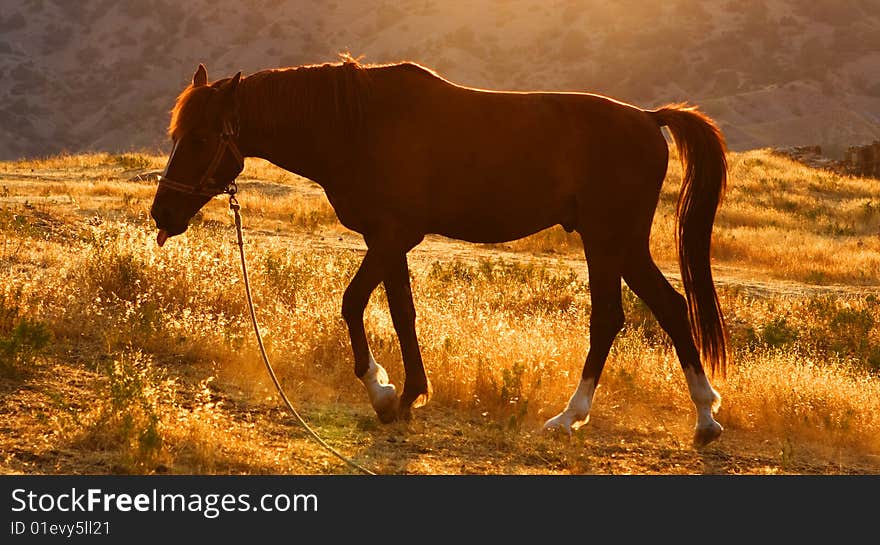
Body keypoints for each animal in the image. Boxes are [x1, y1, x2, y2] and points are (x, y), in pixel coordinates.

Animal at [151, 56, 728, 446]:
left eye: (200, 138)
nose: (162, 216)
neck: (357, 125)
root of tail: (650, 118)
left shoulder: (391, 236)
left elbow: (361, 305)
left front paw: (385, 392)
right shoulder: (388, 242)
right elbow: (393, 311)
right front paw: (403, 394)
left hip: (605, 241)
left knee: (609, 318)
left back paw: (571, 416)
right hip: (623, 245)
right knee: (672, 309)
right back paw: (704, 418)